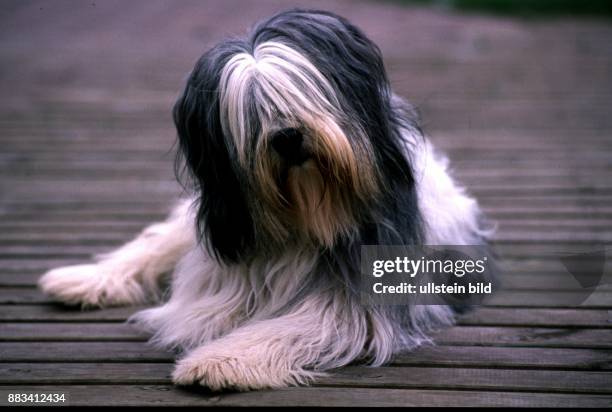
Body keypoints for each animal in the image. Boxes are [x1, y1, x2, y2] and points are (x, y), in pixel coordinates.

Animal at [39, 8, 492, 390]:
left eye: (302, 91)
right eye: (251, 111)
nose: (288, 136)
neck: (307, 217)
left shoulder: (359, 299)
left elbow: (293, 324)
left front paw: (216, 362)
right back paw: (81, 279)